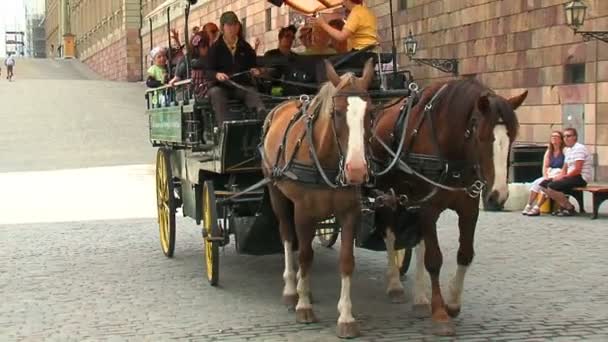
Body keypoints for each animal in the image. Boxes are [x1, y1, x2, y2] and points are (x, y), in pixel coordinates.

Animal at [262, 60, 376, 338]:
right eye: (337, 113)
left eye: (370, 113)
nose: (357, 170)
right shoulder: (303, 211)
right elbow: (305, 255)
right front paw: (303, 305)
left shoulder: (350, 212)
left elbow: (346, 261)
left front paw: (346, 316)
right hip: (276, 193)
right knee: (287, 236)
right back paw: (291, 289)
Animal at [368, 79, 528, 336]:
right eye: (482, 138)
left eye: (512, 137)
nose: (498, 196)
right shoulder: (428, 208)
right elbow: (434, 259)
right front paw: (441, 314)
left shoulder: (468, 209)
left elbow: (464, 254)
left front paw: (451, 302)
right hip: (387, 192)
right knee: (390, 234)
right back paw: (394, 285)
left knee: (417, 242)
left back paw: (420, 299)